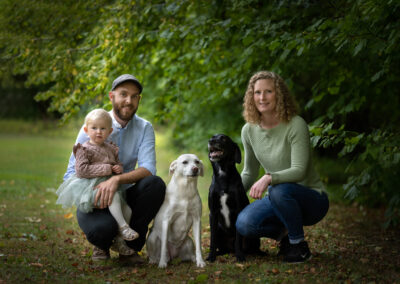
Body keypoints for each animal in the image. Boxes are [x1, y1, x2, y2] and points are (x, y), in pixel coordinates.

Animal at [206, 133, 262, 262]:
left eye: (224, 138)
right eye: (213, 137)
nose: (210, 141)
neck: (223, 173)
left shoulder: (238, 211)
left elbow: (238, 239)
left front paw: (240, 256)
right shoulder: (213, 213)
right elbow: (212, 239)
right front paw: (211, 256)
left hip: (253, 238)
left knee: (251, 247)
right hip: (219, 229)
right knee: (222, 247)